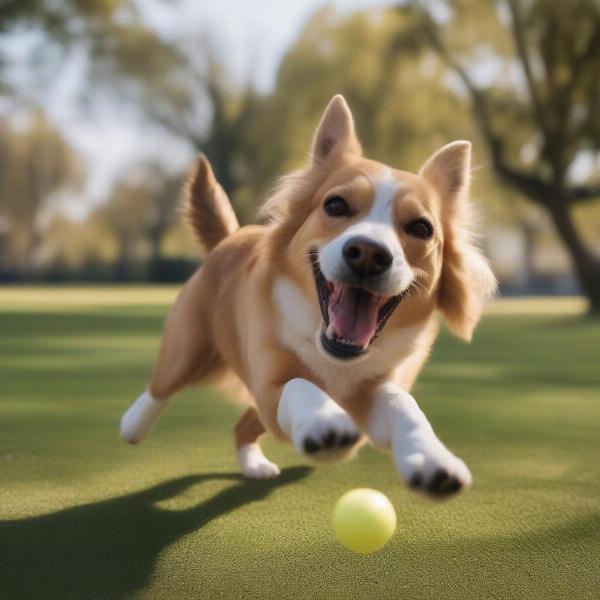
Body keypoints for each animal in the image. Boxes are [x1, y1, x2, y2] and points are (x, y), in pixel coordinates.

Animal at [119, 96, 494, 500]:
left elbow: (405, 407)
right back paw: (133, 424)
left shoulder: (374, 394)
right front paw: (325, 421)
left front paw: (431, 459)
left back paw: (253, 464)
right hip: (189, 347)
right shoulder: (269, 385)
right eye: (336, 205)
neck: (334, 357)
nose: (368, 253)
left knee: (242, 425)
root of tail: (229, 238)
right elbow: (300, 385)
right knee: (161, 387)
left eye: (421, 228)